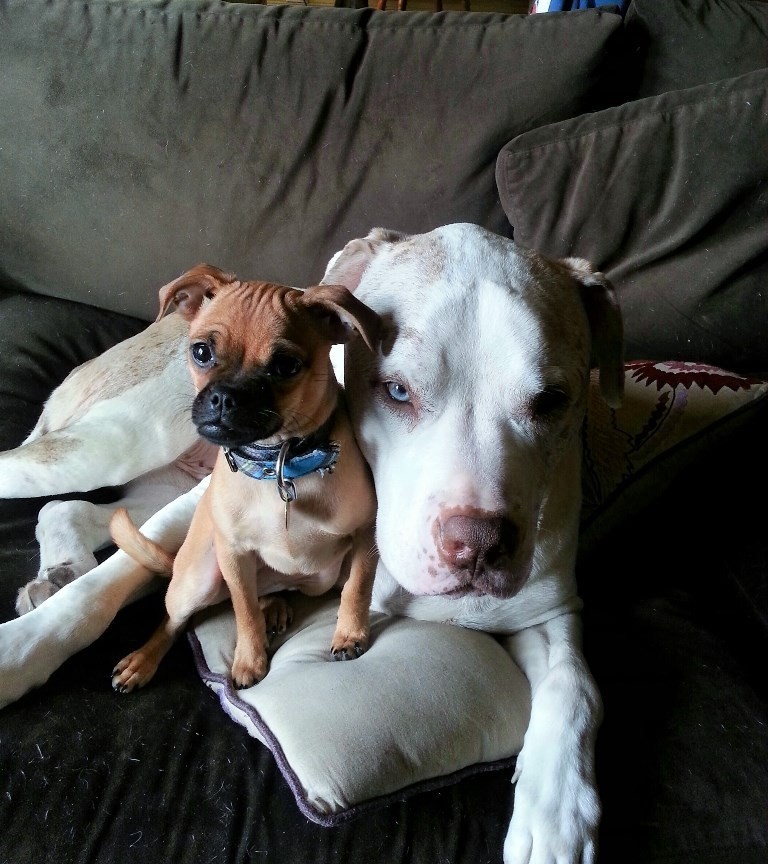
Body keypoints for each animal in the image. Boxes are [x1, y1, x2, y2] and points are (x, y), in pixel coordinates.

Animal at [106, 264, 382, 688]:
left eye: (286, 366)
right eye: (201, 352)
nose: (224, 398)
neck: (278, 465)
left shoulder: (365, 537)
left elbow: (357, 587)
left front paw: (350, 634)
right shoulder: (234, 555)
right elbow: (244, 610)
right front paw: (249, 660)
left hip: (318, 578)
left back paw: (278, 605)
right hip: (197, 578)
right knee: (173, 620)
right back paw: (143, 660)